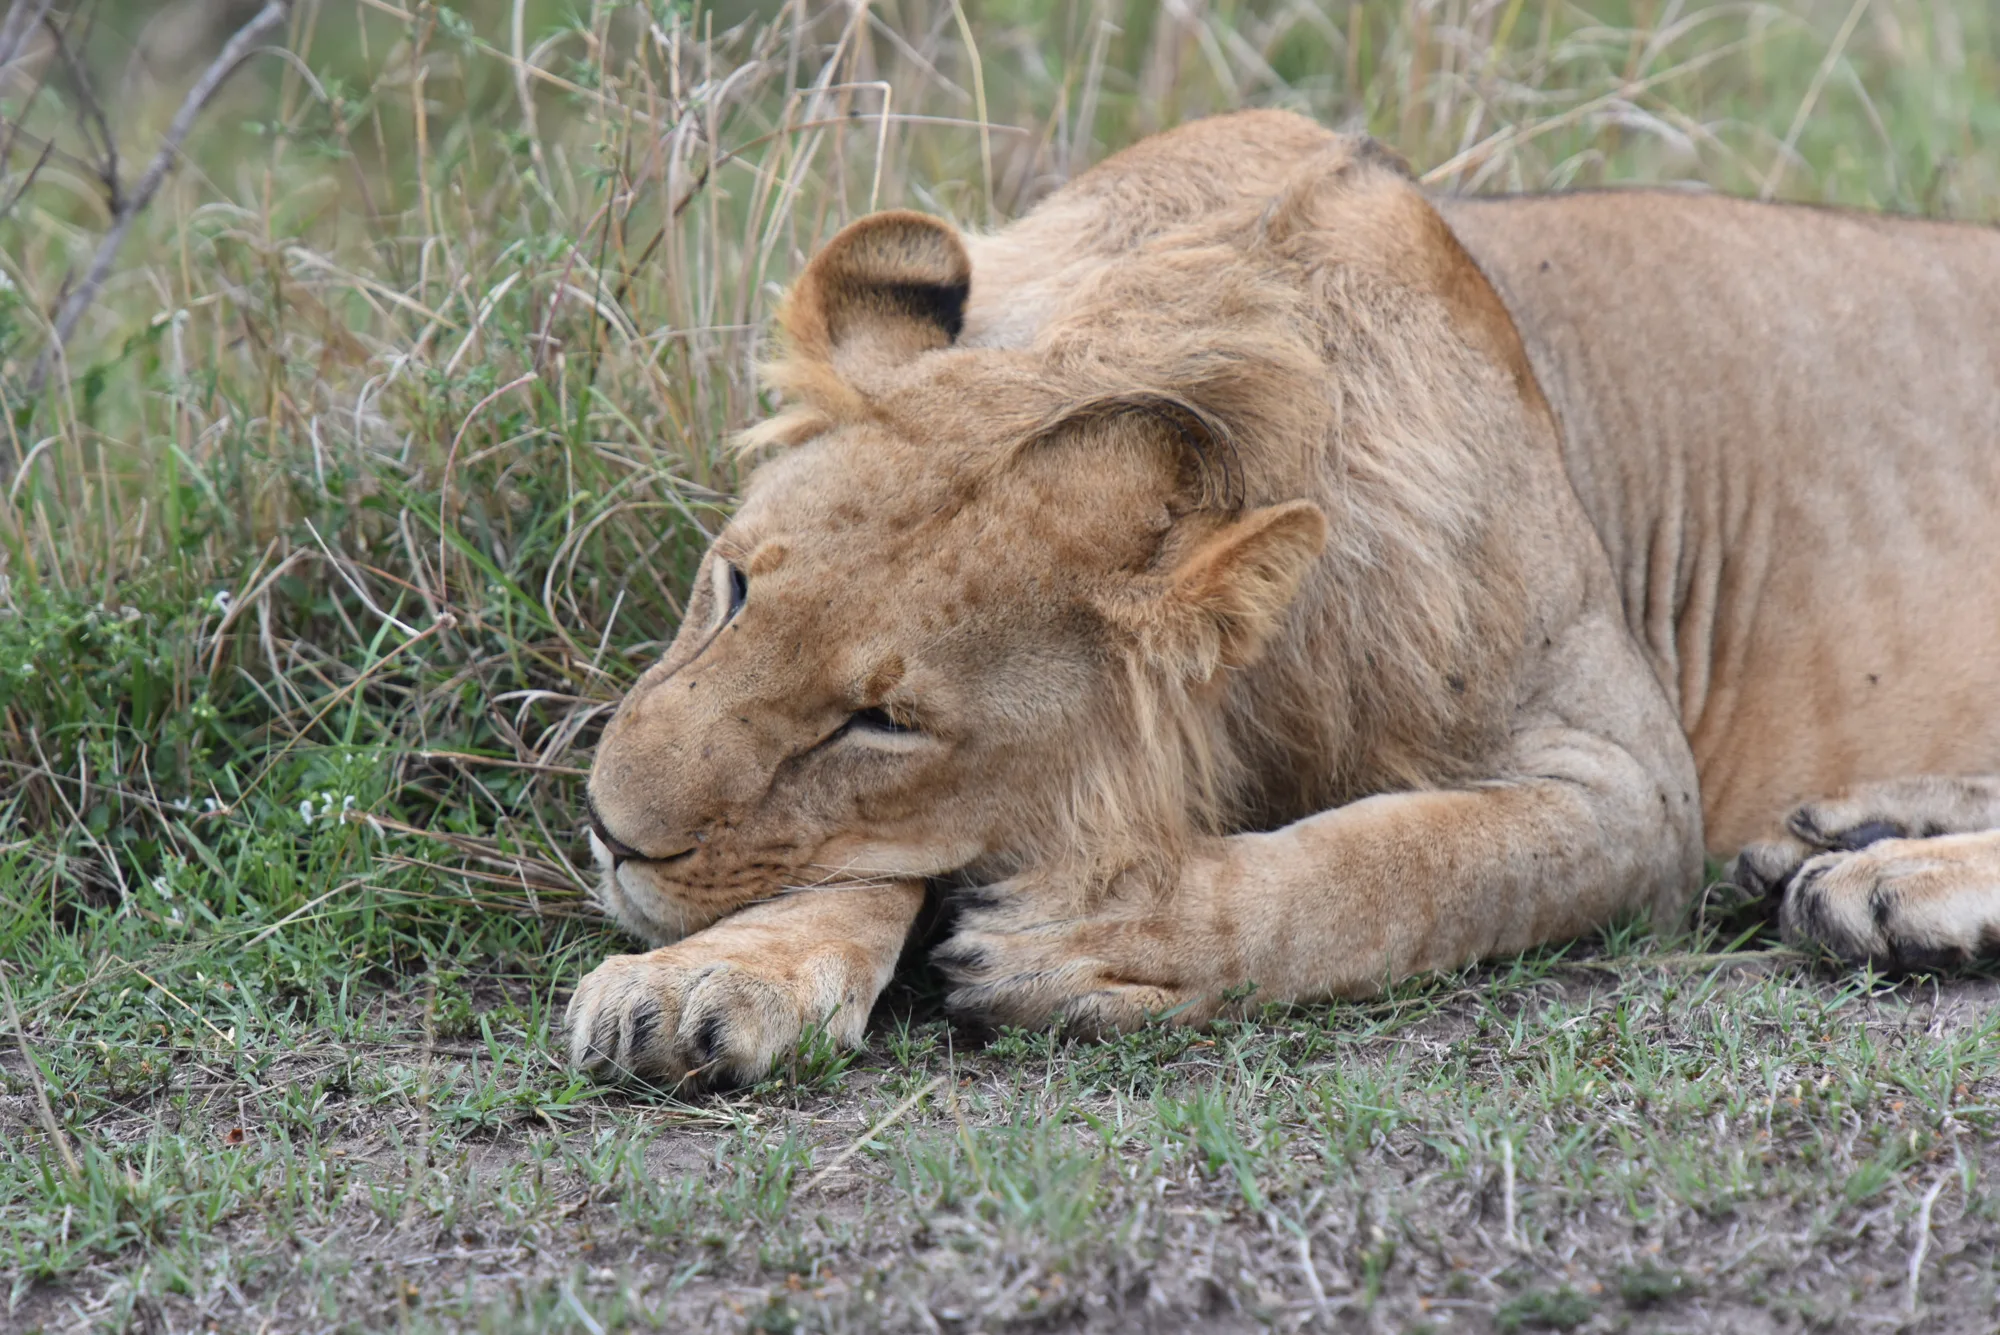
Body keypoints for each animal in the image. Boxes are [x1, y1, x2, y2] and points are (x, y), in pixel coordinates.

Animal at [567, 110, 2000, 1085]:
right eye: (731, 585)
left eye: (884, 725)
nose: (608, 829)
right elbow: (850, 868)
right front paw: (710, 976)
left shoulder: (1633, 787)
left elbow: (1406, 865)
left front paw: (1110, 930)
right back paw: (1840, 835)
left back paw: (1884, 888)